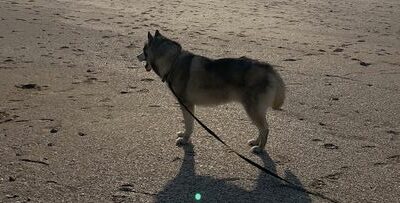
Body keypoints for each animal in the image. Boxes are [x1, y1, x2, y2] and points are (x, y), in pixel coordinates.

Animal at [138, 30, 284, 153]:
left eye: (144, 50)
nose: (136, 56)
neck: (172, 61)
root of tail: (267, 67)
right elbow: (188, 124)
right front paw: (184, 135)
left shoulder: (187, 105)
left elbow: (189, 124)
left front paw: (185, 139)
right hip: (256, 110)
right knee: (262, 128)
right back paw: (256, 142)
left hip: (253, 110)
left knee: (265, 129)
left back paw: (260, 148)